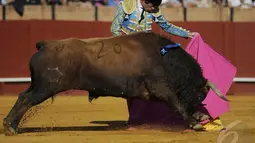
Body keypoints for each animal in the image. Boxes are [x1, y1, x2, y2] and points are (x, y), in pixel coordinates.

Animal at [2, 31, 229, 135]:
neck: (164, 57)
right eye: (200, 94)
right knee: (25, 99)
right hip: (46, 87)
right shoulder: (160, 87)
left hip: (38, 86)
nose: (200, 111)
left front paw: (201, 117)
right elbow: (177, 103)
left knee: (23, 97)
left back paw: (12, 125)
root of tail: (46, 45)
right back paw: (10, 127)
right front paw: (194, 122)